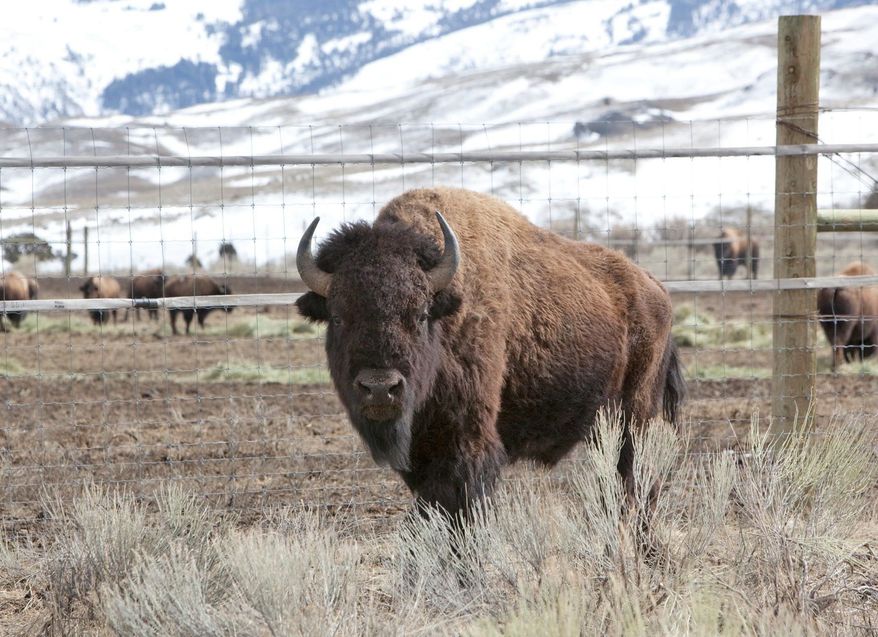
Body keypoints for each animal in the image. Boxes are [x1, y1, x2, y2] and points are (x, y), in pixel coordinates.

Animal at [296, 187, 684, 531]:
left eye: (419, 314)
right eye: (338, 317)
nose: (380, 388)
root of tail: (657, 290)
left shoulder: (468, 442)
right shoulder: (422, 452)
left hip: (636, 416)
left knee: (635, 480)